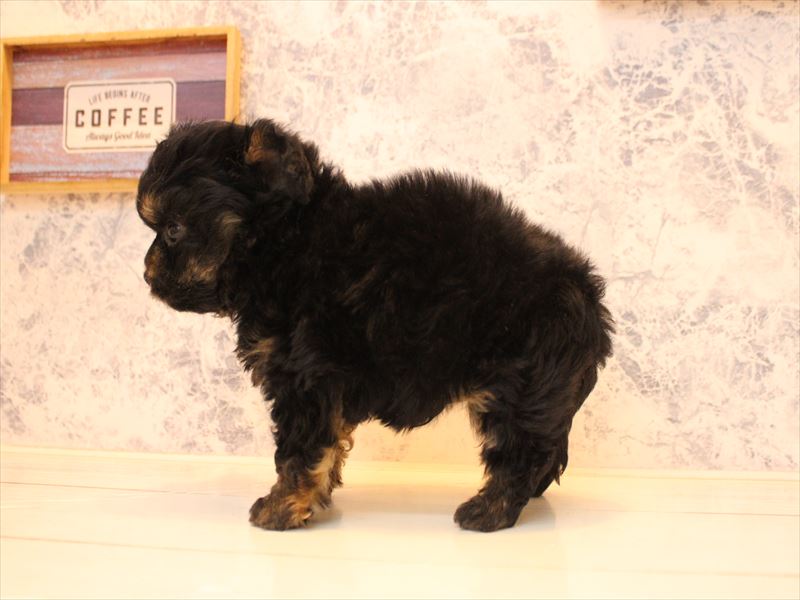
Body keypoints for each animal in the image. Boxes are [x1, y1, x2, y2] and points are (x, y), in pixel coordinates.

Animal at [136, 119, 613, 532]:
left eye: (174, 229)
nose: (146, 273)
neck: (287, 245)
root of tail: (585, 290)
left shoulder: (303, 377)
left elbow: (298, 451)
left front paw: (282, 507)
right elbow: (328, 446)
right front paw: (316, 498)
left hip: (521, 379)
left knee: (521, 450)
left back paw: (488, 511)